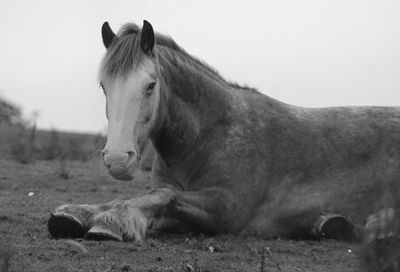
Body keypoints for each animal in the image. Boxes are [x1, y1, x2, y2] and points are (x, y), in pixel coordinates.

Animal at [48, 19, 400, 262]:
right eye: (104, 87)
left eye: (150, 85)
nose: (117, 160)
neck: (208, 135)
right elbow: (151, 197)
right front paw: (78, 212)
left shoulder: (227, 208)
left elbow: (162, 196)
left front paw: (115, 220)